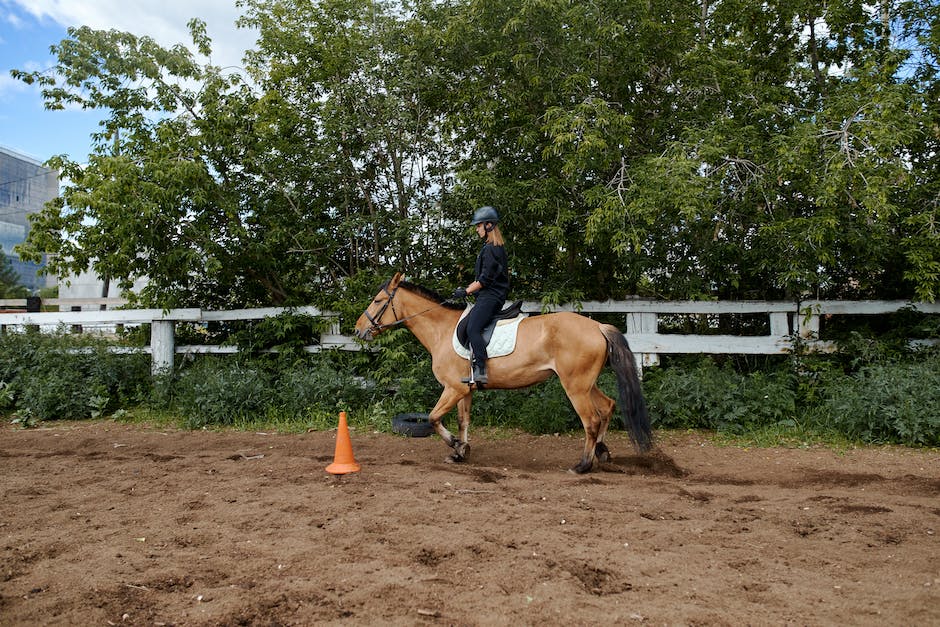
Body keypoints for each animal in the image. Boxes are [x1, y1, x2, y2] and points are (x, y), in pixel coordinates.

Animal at [354, 272, 652, 474]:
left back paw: (582, 465)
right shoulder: (464, 389)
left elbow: (433, 418)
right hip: (586, 383)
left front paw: (456, 446)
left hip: (575, 386)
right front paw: (461, 452)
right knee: (608, 407)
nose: (358, 330)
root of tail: (598, 326)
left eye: (378, 300)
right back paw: (602, 452)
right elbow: (463, 421)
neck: (441, 329)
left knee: (591, 420)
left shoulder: (453, 388)